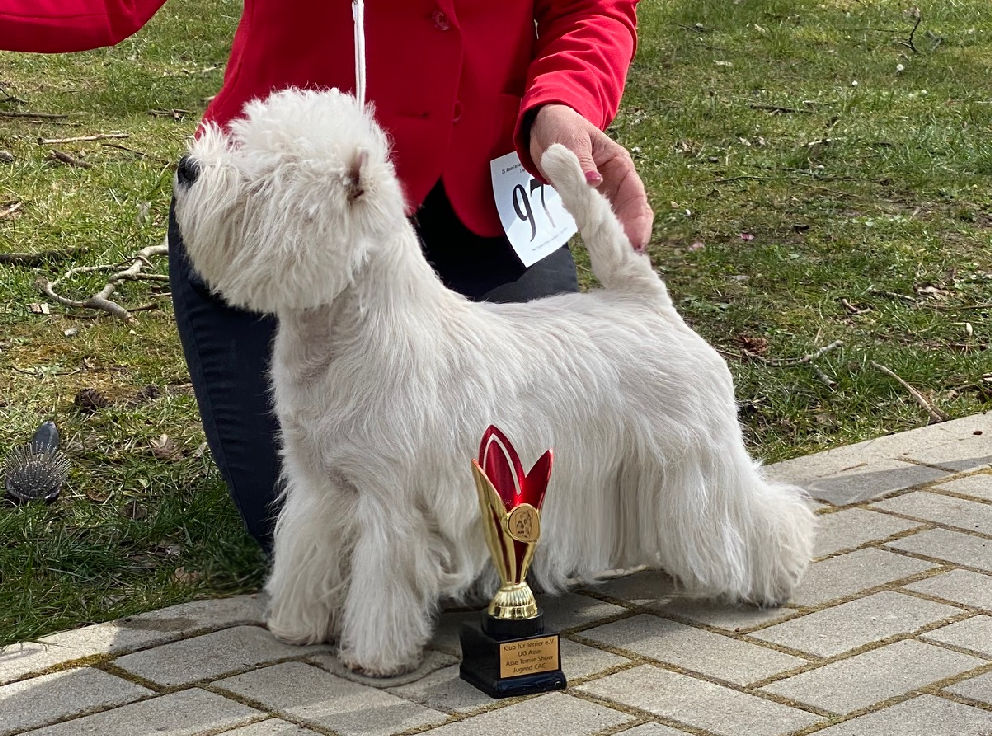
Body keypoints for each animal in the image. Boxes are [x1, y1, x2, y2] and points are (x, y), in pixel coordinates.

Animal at [174, 89, 816, 676]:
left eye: (267, 180)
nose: (187, 168)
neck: (341, 334)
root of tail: (644, 300)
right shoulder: (317, 485)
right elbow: (305, 557)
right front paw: (297, 623)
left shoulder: (389, 500)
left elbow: (382, 583)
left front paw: (375, 656)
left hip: (694, 456)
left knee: (753, 513)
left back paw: (778, 575)